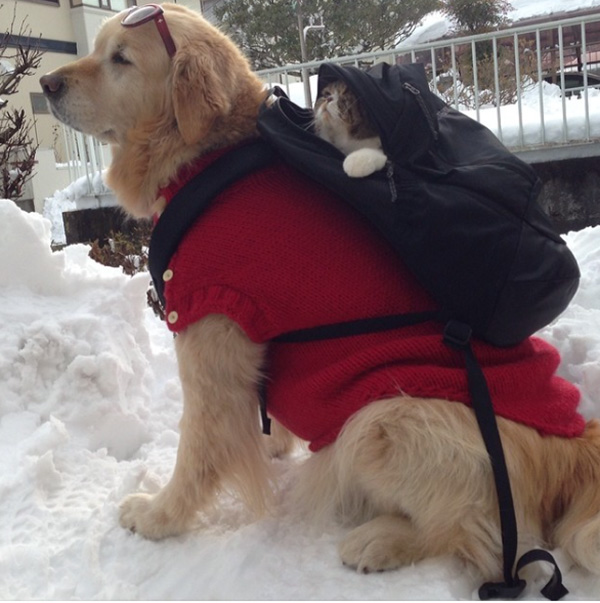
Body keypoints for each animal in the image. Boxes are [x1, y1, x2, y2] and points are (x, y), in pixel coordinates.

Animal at [41, 2, 600, 588]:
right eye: (95, 49)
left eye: (121, 58)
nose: (46, 84)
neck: (210, 160)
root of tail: (577, 444)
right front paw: (271, 443)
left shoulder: (206, 321)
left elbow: (197, 447)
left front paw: (159, 515)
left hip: (383, 419)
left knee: (487, 539)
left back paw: (380, 541)